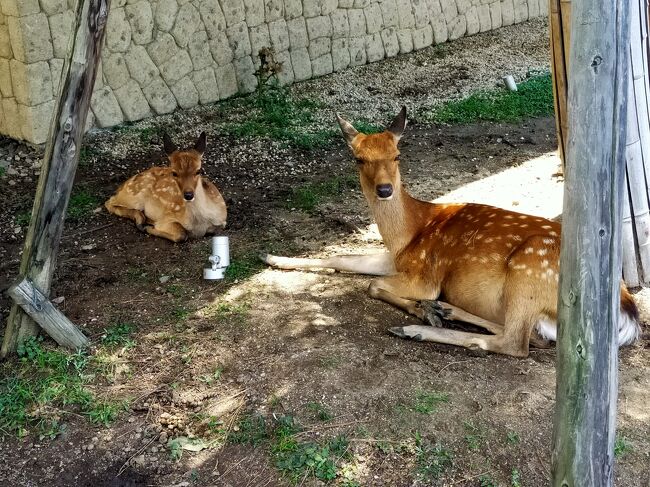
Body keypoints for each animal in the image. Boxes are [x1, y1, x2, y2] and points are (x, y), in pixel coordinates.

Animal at [262, 107, 636, 358]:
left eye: (397, 154)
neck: (409, 232)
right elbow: (341, 257)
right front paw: (272, 257)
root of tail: (626, 308)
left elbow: (373, 285)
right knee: (531, 335)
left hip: (530, 268)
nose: (384, 190)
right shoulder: (395, 259)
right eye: (358, 158)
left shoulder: (425, 274)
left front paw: (418, 310)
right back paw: (445, 311)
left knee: (517, 343)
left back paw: (416, 328)